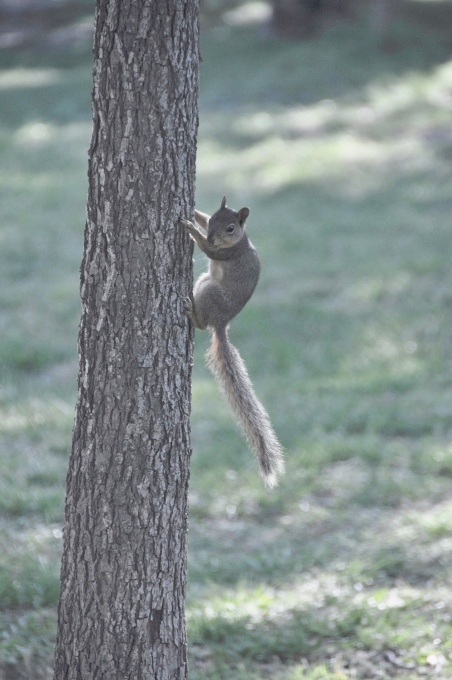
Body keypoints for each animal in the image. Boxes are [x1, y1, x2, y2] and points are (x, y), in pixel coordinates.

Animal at [179, 194, 282, 486]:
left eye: (231, 228)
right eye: (214, 219)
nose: (212, 236)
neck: (240, 240)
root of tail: (222, 323)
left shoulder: (226, 252)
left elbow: (209, 251)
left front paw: (191, 229)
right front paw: (195, 215)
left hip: (210, 292)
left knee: (202, 325)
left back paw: (192, 313)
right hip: (204, 282)